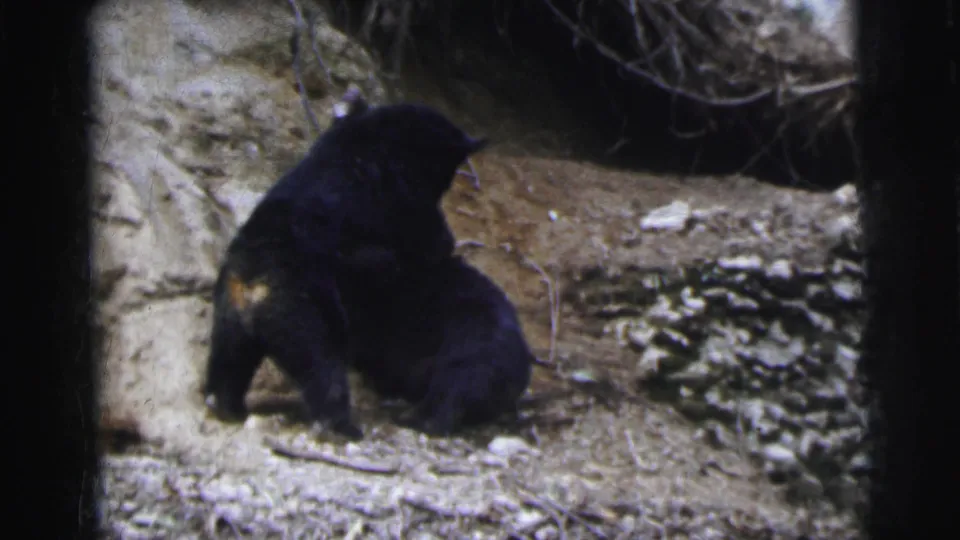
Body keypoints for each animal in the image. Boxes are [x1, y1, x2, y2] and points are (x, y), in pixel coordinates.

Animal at [202, 90, 488, 440]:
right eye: (447, 172)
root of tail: (254, 284)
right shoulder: (399, 198)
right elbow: (423, 234)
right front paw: (441, 246)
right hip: (303, 306)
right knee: (322, 361)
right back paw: (342, 424)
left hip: (229, 317)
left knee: (229, 360)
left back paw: (225, 405)